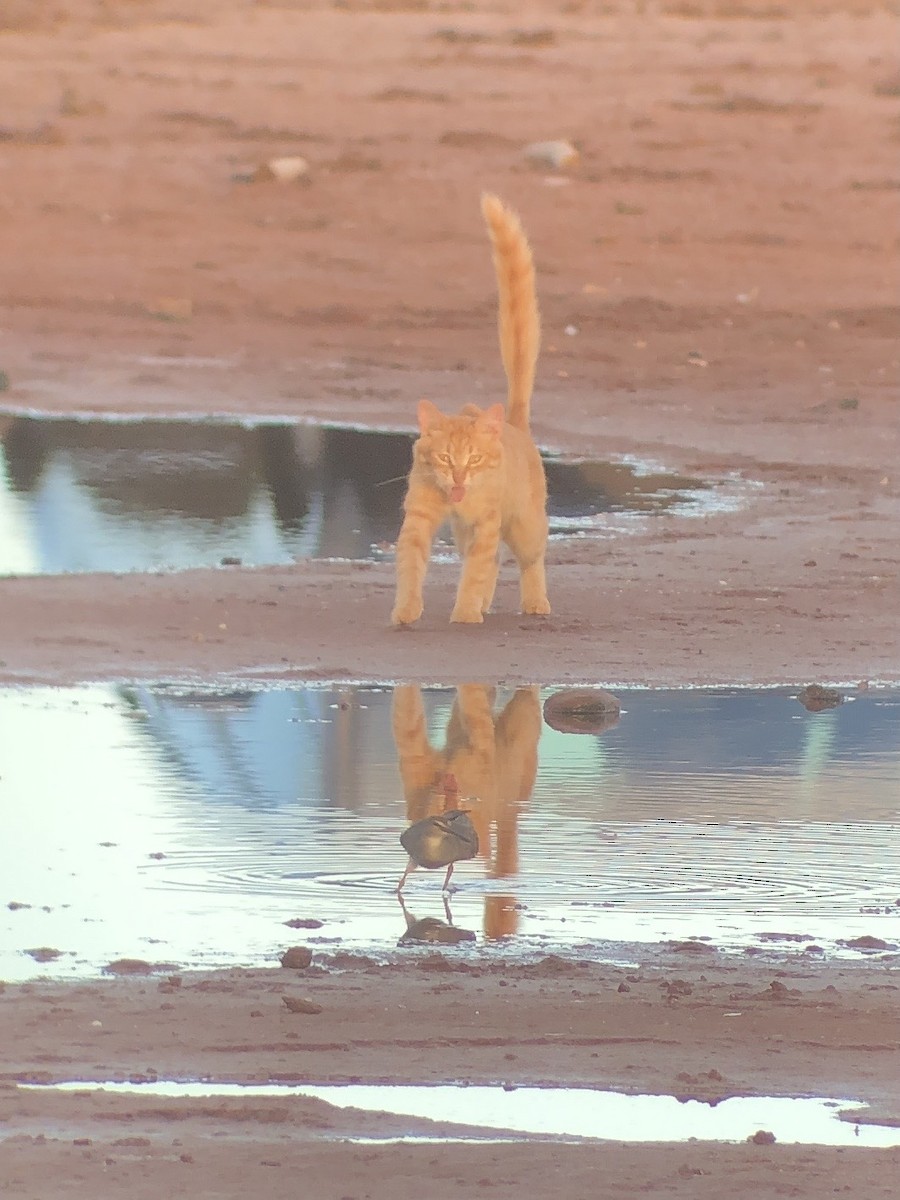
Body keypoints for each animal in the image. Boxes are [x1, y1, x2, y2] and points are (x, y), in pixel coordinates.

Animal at [391, 192, 554, 624]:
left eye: (475, 459)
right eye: (446, 458)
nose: (461, 478)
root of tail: (514, 423)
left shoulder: (486, 524)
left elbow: (475, 571)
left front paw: (464, 612)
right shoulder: (419, 519)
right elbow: (411, 566)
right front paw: (406, 610)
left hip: (525, 527)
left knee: (531, 558)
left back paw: (535, 603)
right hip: (465, 534)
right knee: (495, 562)